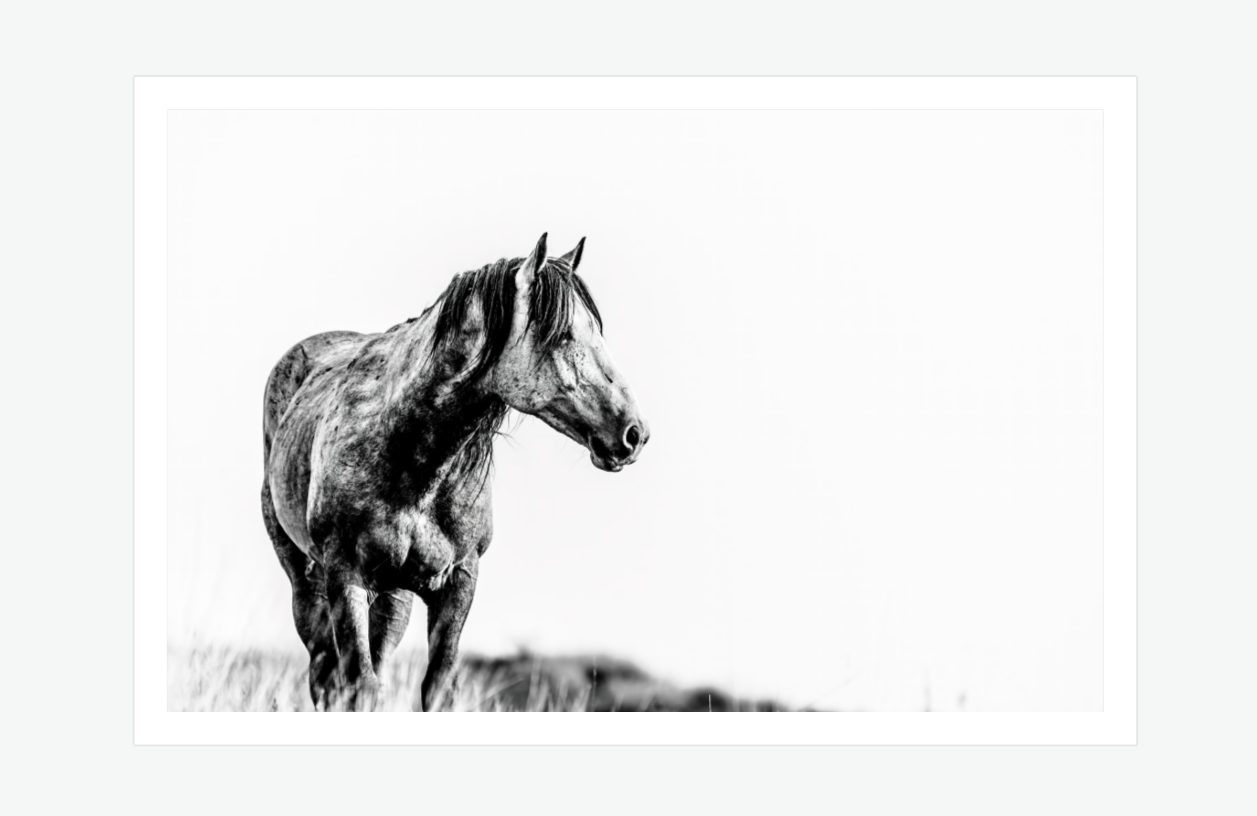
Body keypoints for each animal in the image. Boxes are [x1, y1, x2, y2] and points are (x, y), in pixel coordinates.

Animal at [260, 233, 649, 711]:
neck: (416, 463)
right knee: (324, 672)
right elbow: (358, 685)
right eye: (562, 335)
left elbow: (438, 686)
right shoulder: (344, 572)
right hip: (305, 579)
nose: (634, 433)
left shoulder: (459, 581)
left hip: (394, 595)